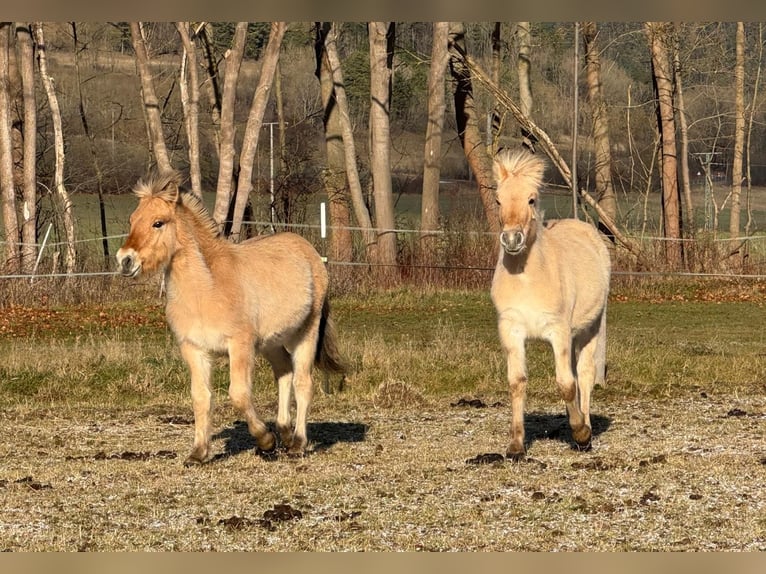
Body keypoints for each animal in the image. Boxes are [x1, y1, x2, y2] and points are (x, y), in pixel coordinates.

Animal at [116, 170, 345, 465]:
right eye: (133, 220)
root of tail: (310, 252)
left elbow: (239, 394)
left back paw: (297, 443)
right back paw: (284, 433)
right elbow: (201, 397)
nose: (125, 260)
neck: (207, 288)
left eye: (158, 223)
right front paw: (198, 453)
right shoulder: (194, 349)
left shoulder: (240, 346)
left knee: (303, 382)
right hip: (271, 343)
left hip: (306, 332)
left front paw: (265, 440)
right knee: (284, 373)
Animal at [490, 149, 611, 460]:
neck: (528, 280)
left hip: (590, 328)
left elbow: (567, 385)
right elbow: (517, 382)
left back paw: (585, 430)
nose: (512, 239)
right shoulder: (511, 329)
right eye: (498, 200)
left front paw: (581, 434)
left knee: (585, 374)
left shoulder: (559, 330)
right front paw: (516, 446)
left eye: (531, 199)